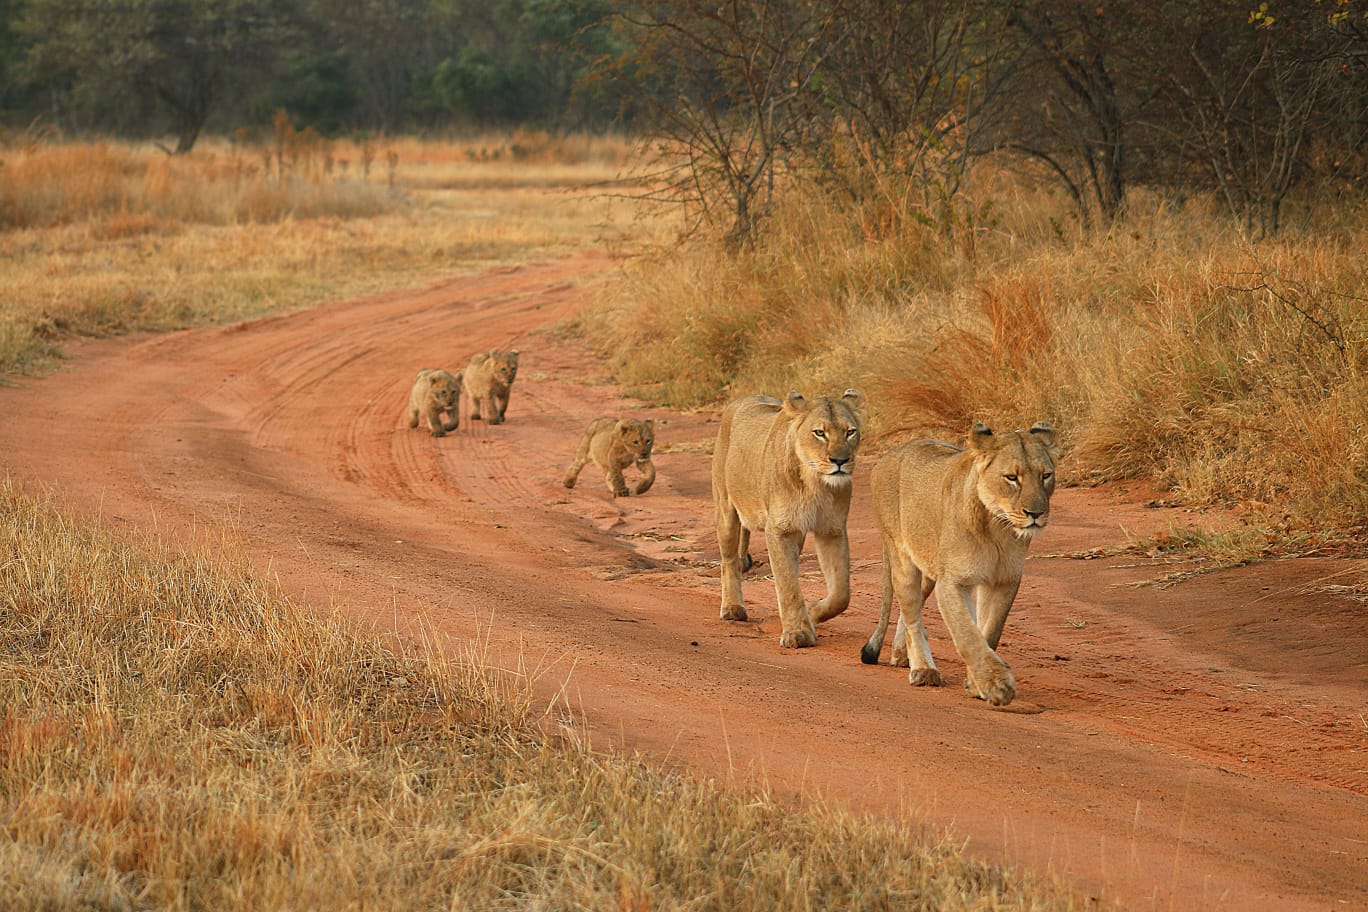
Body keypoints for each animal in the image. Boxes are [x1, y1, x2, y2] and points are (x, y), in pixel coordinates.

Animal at [713, 389, 864, 648]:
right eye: (819, 433)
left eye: (850, 432)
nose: (840, 461)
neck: (816, 483)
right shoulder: (780, 530)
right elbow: (788, 584)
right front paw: (797, 633)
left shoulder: (831, 529)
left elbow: (841, 593)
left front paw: (813, 613)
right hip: (726, 511)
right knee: (730, 562)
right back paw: (733, 608)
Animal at [859, 422, 1058, 706]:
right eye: (1012, 477)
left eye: (1046, 475)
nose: (1036, 513)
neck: (997, 528)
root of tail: (888, 455)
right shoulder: (952, 582)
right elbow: (967, 634)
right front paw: (997, 684)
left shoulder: (1004, 580)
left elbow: (989, 632)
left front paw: (976, 684)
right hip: (901, 557)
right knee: (911, 613)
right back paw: (923, 669)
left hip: (928, 570)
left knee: (910, 612)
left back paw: (900, 655)